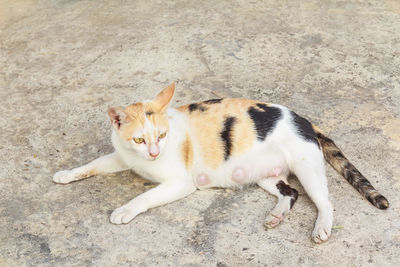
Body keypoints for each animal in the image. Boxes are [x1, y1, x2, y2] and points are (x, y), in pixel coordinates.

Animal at [53, 84, 388, 245]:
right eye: (139, 140)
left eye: (162, 135)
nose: (154, 152)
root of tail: (302, 117)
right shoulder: (121, 156)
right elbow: (93, 164)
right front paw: (67, 174)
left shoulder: (179, 183)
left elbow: (144, 196)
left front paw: (124, 210)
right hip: (265, 175)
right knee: (290, 192)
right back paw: (276, 216)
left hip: (306, 168)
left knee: (324, 202)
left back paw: (321, 228)